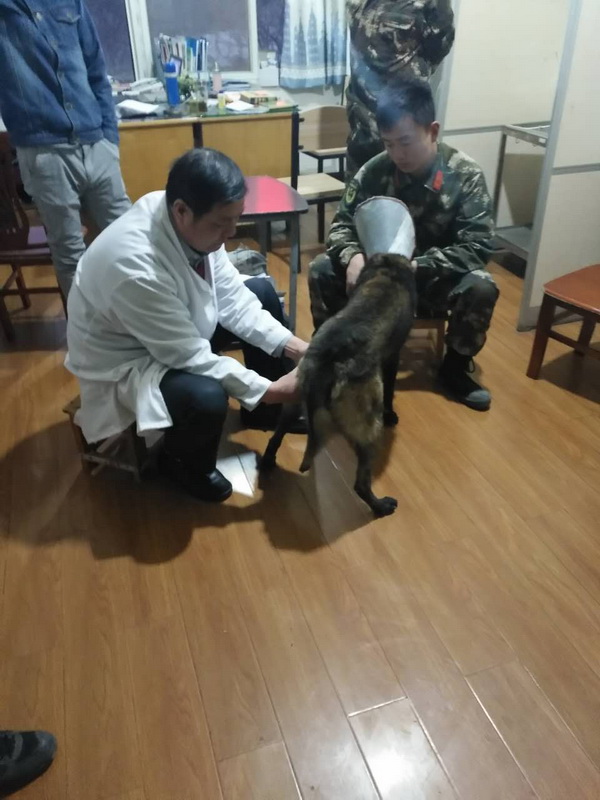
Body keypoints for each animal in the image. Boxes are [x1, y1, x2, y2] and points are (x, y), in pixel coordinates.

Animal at [260, 252, 416, 517]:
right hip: (367, 425)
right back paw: (380, 506)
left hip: (293, 400)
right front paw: (391, 414)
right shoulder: (392, 357)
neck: (387, 268)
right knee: (361, 483)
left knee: (275, 436)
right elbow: (390, 390)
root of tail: (325, 361)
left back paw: (267, 462)